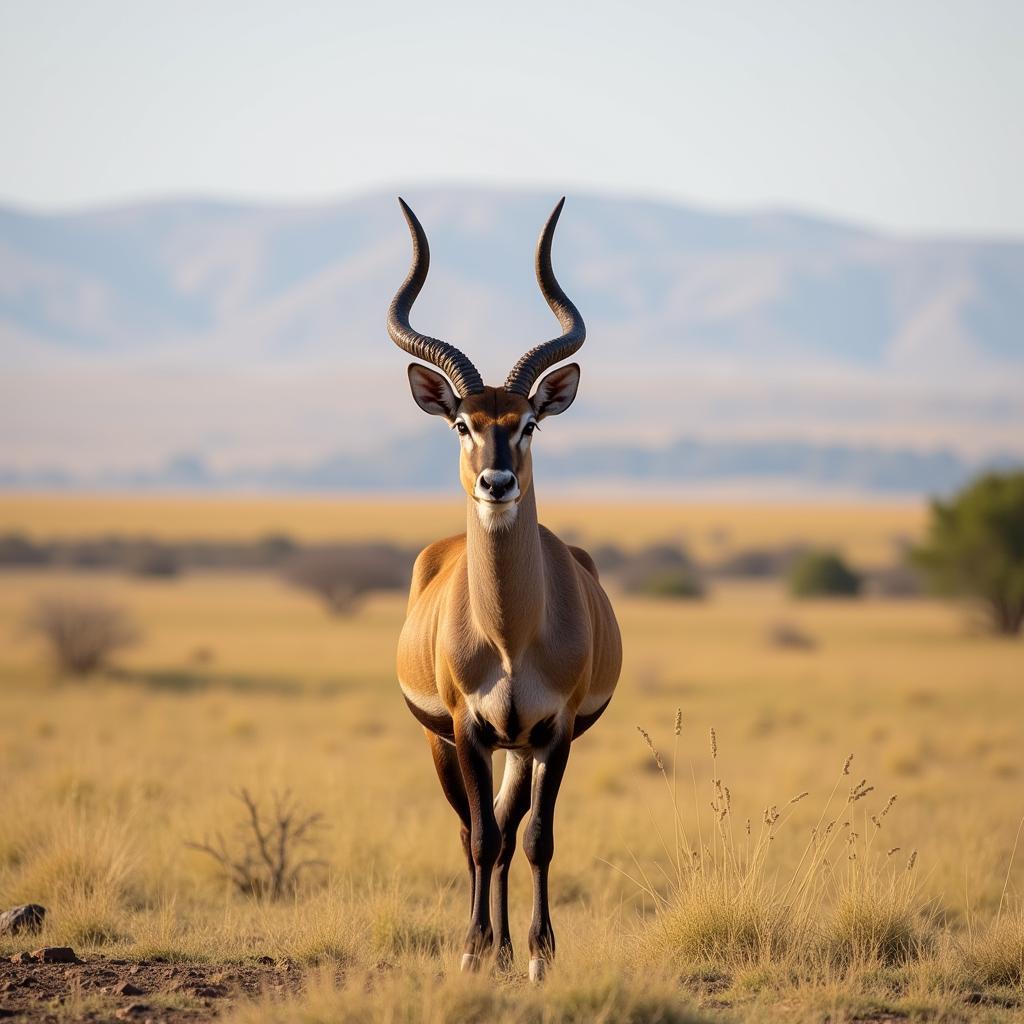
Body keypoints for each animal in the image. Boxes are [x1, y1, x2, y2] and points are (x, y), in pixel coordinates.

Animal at [385, 195, 618, 978]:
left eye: (529, 423)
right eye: (462, 422)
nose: (497, 482)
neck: (512, 637)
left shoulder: (553, 732)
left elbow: (536, 837)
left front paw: (540, 957)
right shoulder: (467, 728)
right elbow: (484, 839)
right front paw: (471, 951)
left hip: (516, 748)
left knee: (511, 833)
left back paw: (511, 947)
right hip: (447, 745)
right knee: (473, 835)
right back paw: (485, 944)